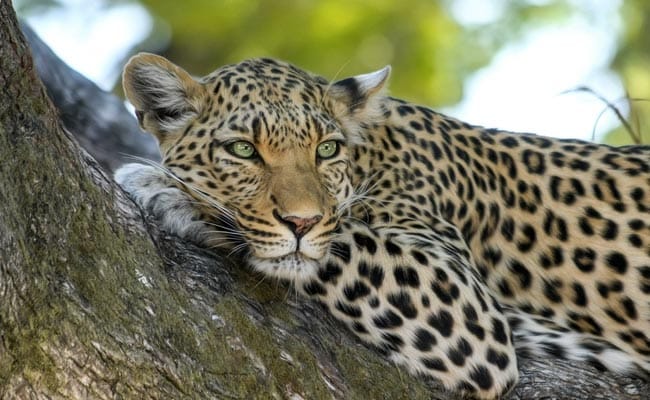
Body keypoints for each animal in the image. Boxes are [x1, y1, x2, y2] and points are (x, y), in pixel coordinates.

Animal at [115, 52, 650, 399]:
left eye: (326, 149)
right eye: (243, 150)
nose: (301, 221)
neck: (372, 156)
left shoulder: (465, 305)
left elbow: (339, 240)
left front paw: (168, 189)